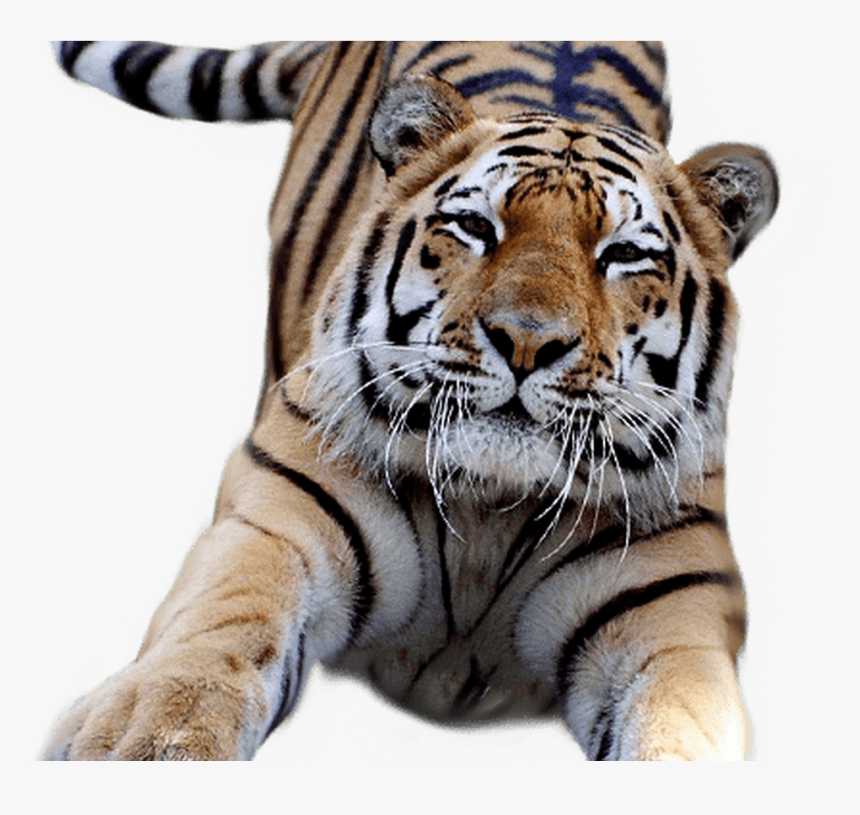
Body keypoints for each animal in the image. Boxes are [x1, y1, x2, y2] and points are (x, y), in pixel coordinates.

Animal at [44, 41, 777, 761]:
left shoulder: (672, 616)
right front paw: (136, 742)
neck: (490, 511)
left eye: (622, 254)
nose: (527, 341)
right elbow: (202, 652)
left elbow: (677, 732)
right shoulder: (275, 526)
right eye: (475, 226)